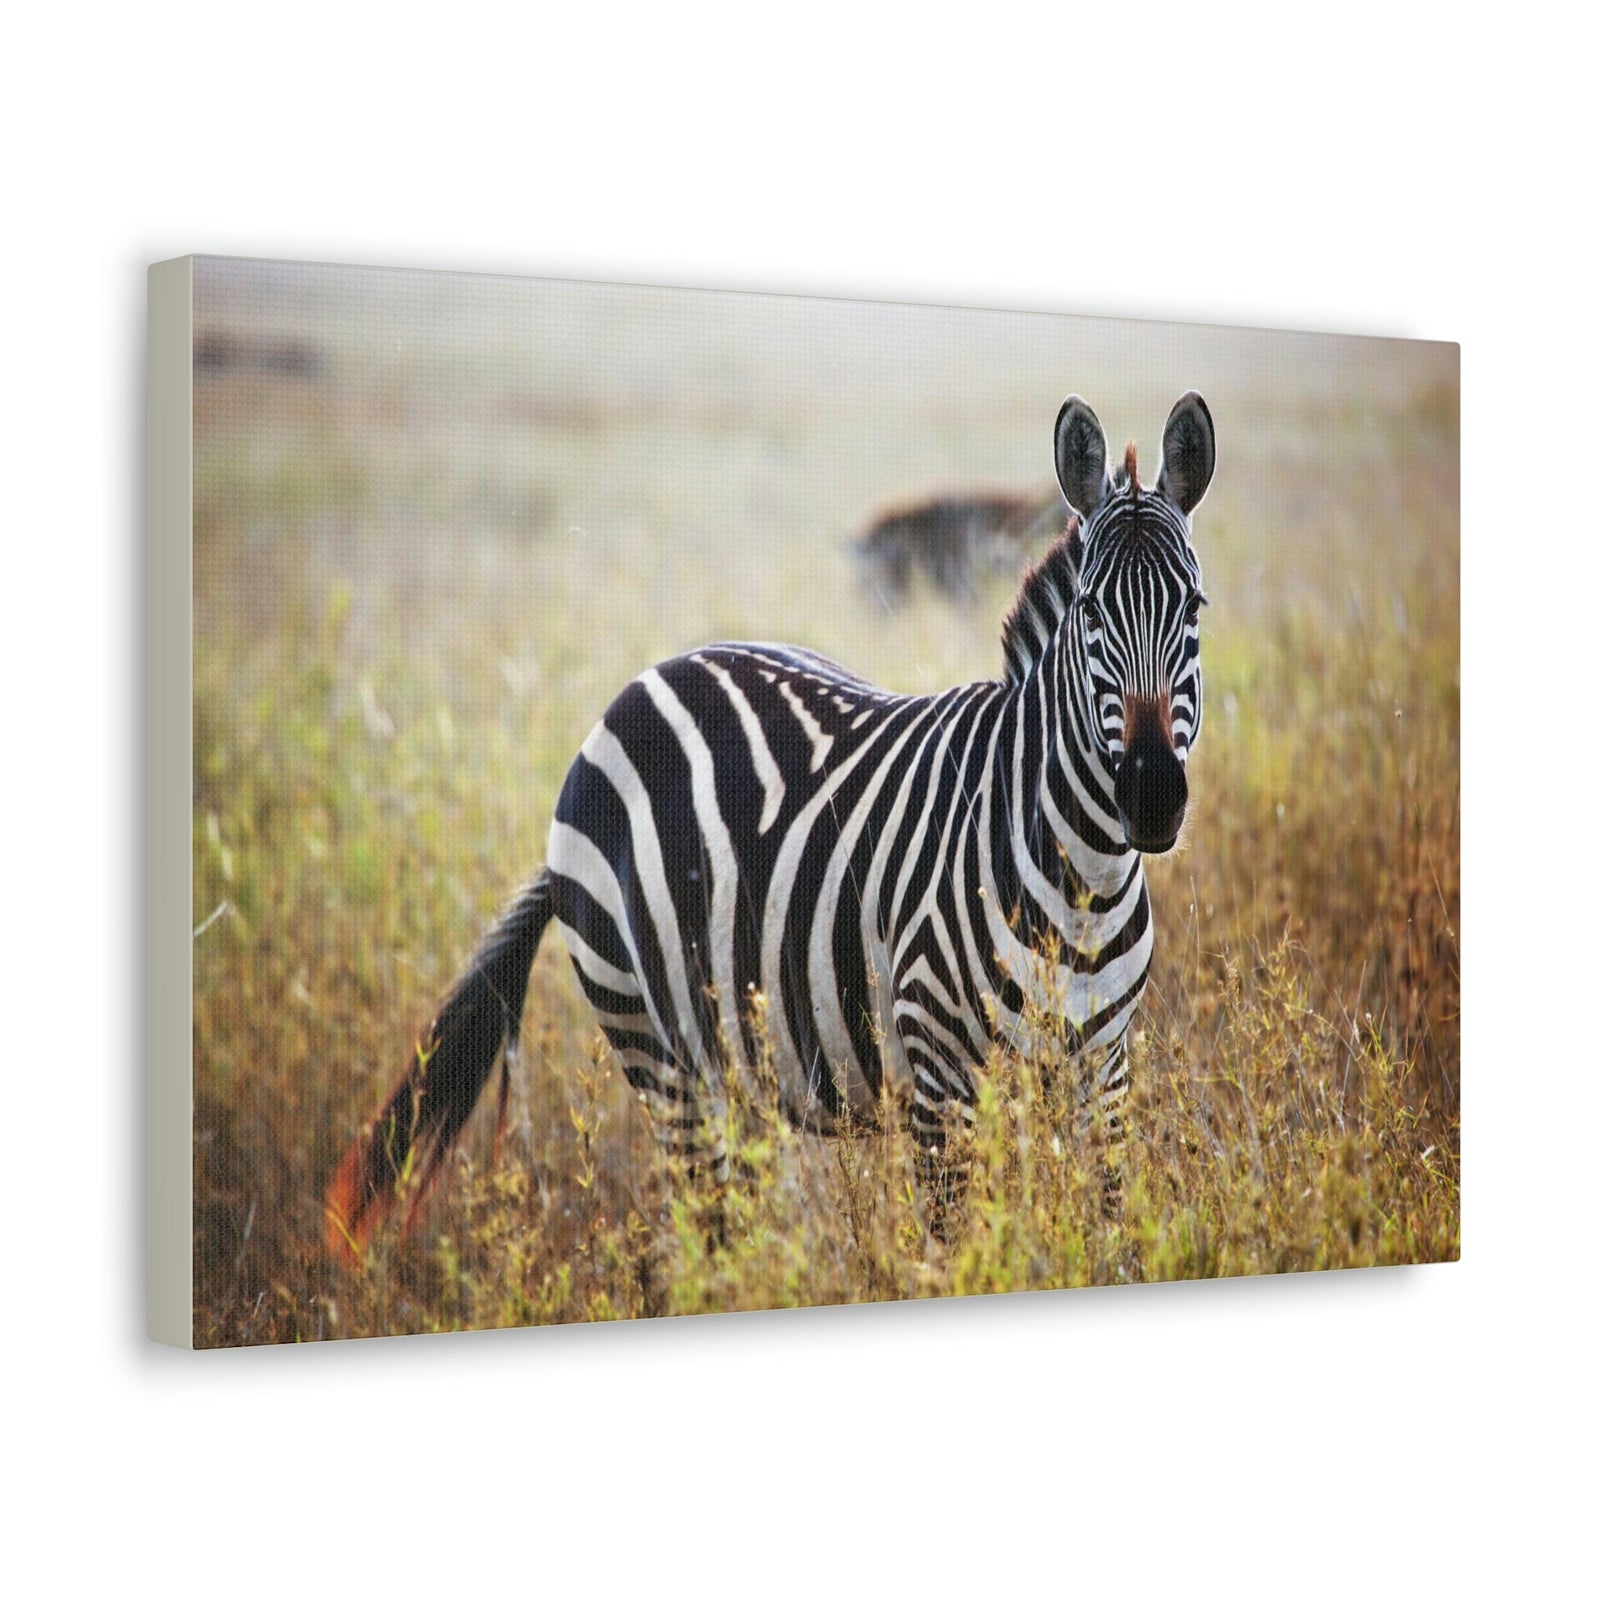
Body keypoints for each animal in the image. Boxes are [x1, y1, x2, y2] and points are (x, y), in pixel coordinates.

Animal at [325, 391, 1215, 1256]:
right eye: (1092, 612)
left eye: (1196, 607)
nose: (1150, 796)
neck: (1083, 876)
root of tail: (642, 684)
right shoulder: (939, 1072)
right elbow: (957, 1249)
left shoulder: (1104, 1068)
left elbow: (1106, 1229)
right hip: (656, 1045)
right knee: (706, 1236)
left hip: (741, 1058)